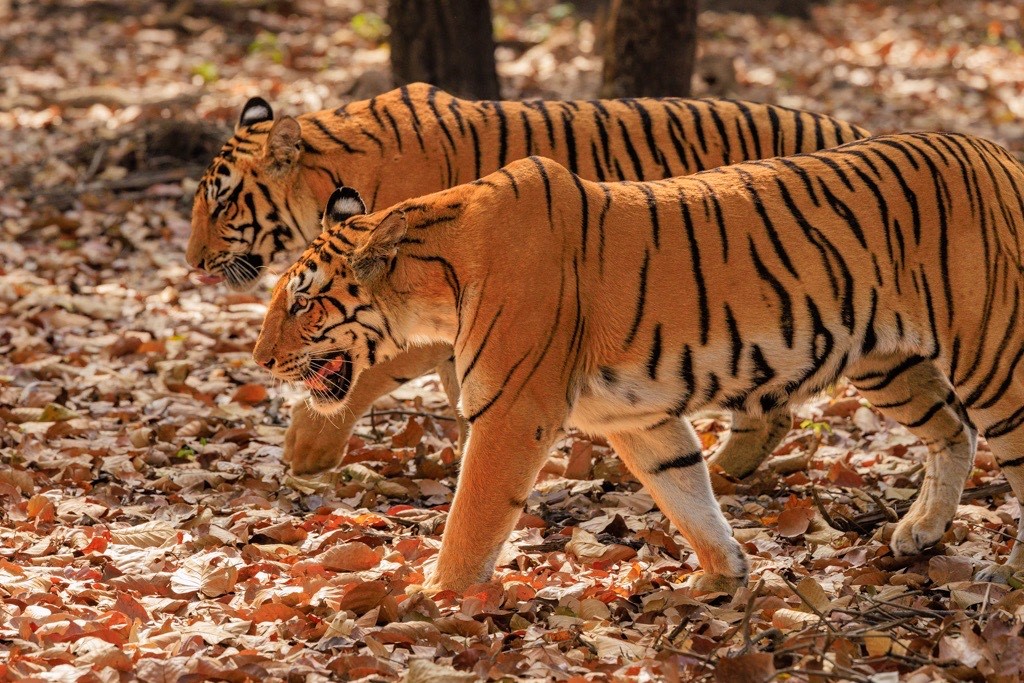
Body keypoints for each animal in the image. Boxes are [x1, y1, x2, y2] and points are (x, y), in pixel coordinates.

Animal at [188, 83, 868, 476]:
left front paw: (307, 449)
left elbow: (375, 372)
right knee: (771, 410)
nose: (192, 262)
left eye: (221, 203)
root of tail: (856, 130)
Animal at [253, 132, 1024, 593]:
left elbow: (473, 514)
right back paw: (919, 531)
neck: (437, 285)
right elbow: (686, 494)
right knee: (952, 431)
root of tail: (997, 150)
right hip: (889, 361)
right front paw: (723, 576)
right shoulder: (638, 417)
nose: (260, 359)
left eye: (303, 301)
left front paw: (436, 594)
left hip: (994, 353)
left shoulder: (512, 413)